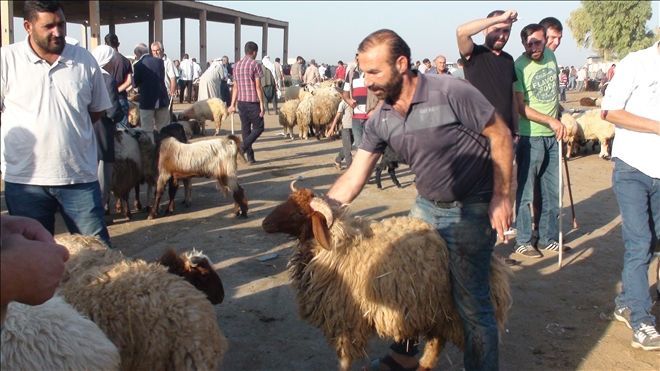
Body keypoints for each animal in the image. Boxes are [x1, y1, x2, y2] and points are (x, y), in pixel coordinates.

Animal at [260, 184, 512, 371]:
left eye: (298, 212)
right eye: (288, 200)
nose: (264, 223)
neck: (337, 245)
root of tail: (495, 265)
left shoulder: (346, 318)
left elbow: (344, 359)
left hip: (451, 310)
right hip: (434, 311)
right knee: (436, 341)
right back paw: (422, 365)